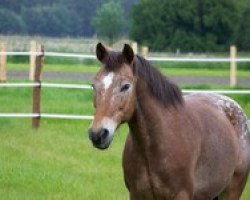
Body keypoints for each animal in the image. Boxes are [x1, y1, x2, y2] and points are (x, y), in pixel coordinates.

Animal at [88, 43, 250, 199]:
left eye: (126, 86)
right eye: (94, 85)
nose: (97, 134)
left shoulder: (181, 194)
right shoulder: (137, 194)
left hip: (232, 190)